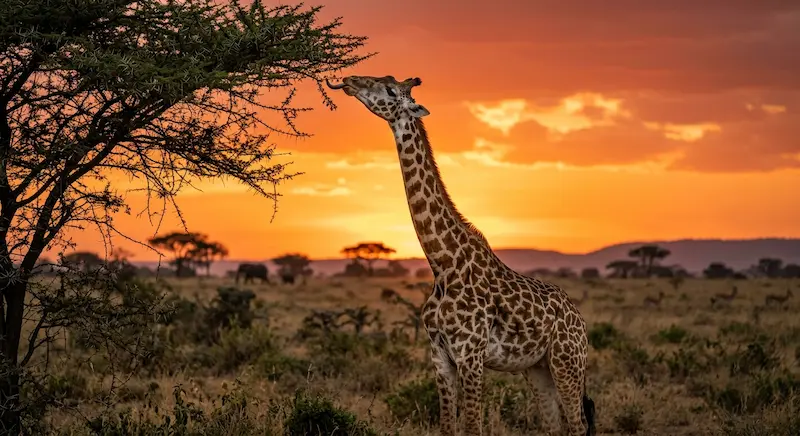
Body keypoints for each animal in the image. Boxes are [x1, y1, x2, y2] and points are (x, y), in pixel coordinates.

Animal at [326, 76, 596, 436]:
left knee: (578, 425)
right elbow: (447, 427)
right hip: (537, 368)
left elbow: (473, 427)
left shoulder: (471, 355)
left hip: (567, 361)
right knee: (554, 426)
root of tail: (579, 318)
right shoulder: (439, 355)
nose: (349, 81)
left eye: (389, 90)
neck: (443, 264)